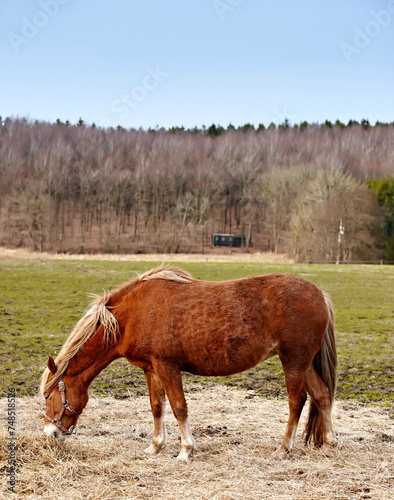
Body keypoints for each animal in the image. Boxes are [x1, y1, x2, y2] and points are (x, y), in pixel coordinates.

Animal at [40, 266, 338, 460]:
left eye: (48, 395)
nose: (50, 433)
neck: (132, 315)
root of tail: (321, 295)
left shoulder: (167, 366)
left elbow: (179, 407)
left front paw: (185, 450)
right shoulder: (151, 369)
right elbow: (157, 407)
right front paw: (156, 446)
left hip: (293, 361)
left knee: (296, 401)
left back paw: (283, 449)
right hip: (304, 363)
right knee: (322, 395)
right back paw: (330, 443)